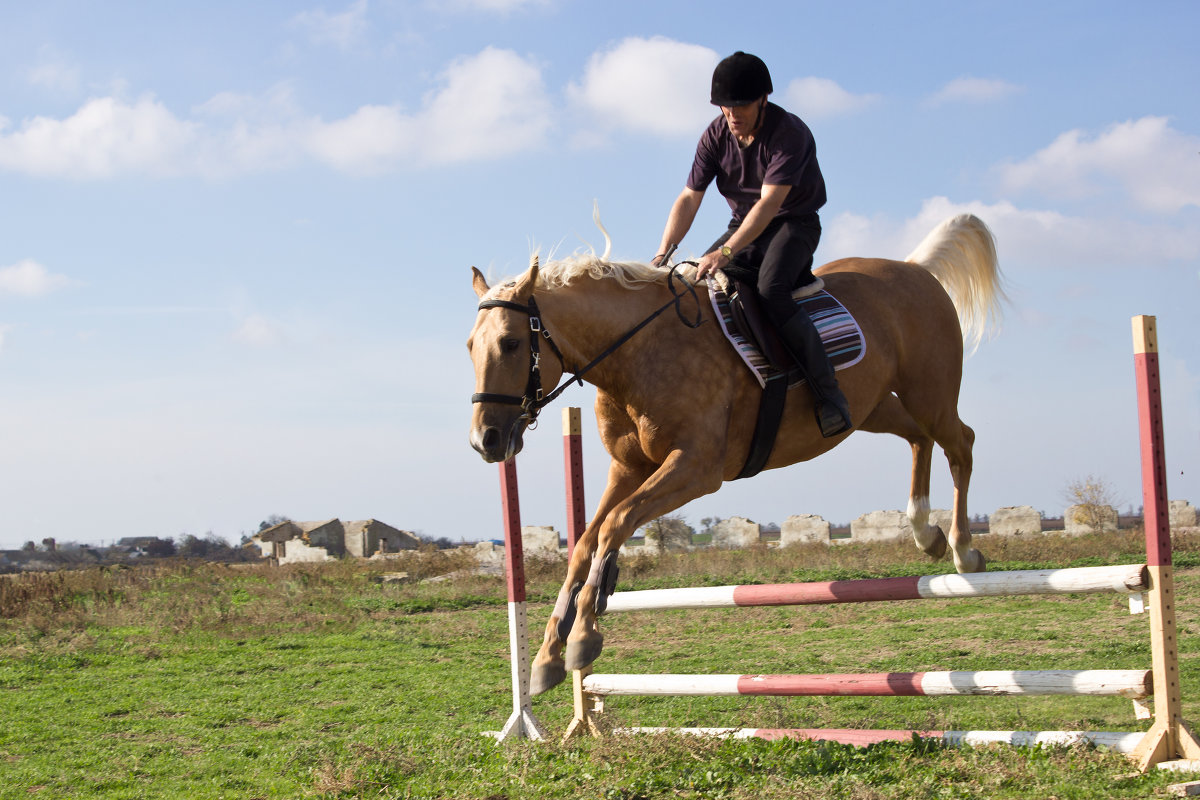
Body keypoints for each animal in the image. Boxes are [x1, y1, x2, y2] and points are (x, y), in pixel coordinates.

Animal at [468, 212, 1003, 695]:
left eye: (511, 343)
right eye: (472, 346)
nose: (484, 441)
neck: (635, 354)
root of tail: (914, 270)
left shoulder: (695, 468)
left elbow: (615, 525)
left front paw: (583, 633)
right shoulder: (629, 469)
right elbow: (585, 542)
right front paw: (547, 656)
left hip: (929, 393)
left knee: (961, 444)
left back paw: (962, 549)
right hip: (872, 409)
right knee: (918, 438)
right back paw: (925, 533)